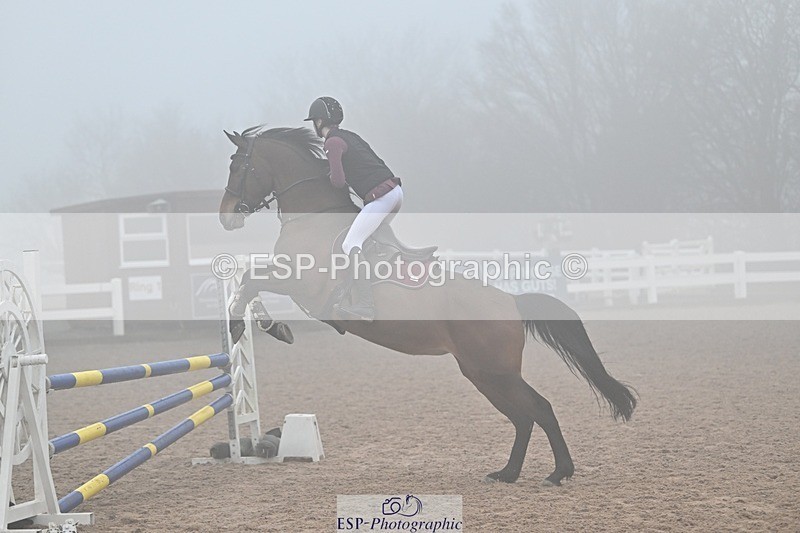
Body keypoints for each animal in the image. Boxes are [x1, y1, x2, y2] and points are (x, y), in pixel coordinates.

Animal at [218, 126, 636, 486]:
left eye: (238, 166)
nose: (226, 215)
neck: (311, 217)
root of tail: (511, 302)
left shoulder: (301, 282)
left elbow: (250, 279)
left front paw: (253, 326)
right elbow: (250, 279)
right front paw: (267, 325)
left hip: (495, 371)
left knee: (541, 409)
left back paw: (557, 472)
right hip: (481, 373)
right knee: (523, 418)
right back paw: (507, 473)